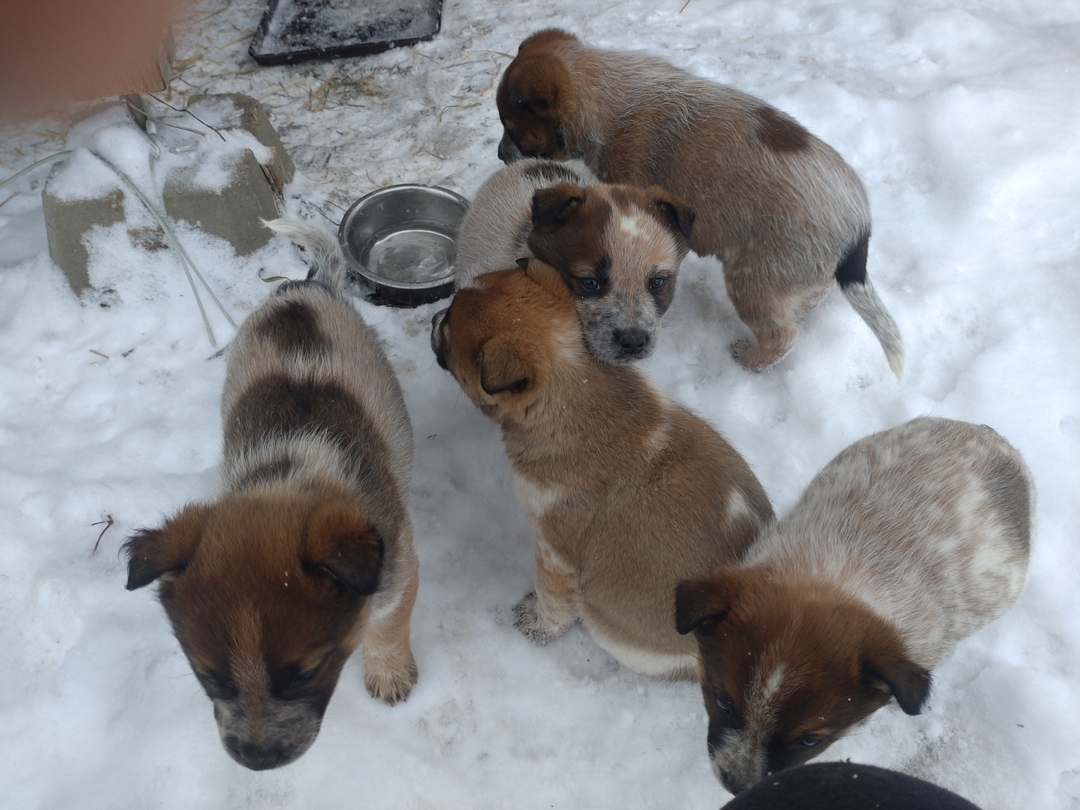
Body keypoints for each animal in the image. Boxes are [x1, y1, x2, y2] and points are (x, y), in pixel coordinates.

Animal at [122, 220, 416, 773]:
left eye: (304, 673)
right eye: (210, 676)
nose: (257, 760)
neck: (287, 477)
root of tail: (304, 287)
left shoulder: (398, 569)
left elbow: (387, 626)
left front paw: (388, 673)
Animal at [425, 260, 773, 678]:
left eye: (447, 334)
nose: (432, 318)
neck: (573, 385)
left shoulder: (555, 550)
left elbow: (553, 600)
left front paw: (537, 625)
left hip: (605, 621)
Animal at [494, 28, 902, 378]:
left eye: (512, 128)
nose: (499, 155)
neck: (604, 90)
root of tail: (857, 228)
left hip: (753, 280)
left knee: (781, 335)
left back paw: (749, 360)